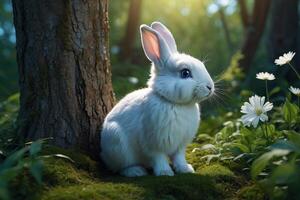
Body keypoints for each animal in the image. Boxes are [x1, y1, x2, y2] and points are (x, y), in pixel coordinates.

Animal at [101, 21, 213, 177]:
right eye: (185, 73)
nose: (210, 87)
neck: (174, 103)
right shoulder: (153, 143)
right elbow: (158, 157)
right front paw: (165, 172)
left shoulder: (180, 145)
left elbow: (179, 157)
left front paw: (185, 169)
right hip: (117, 144)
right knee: (121, 167)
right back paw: (136, 171)